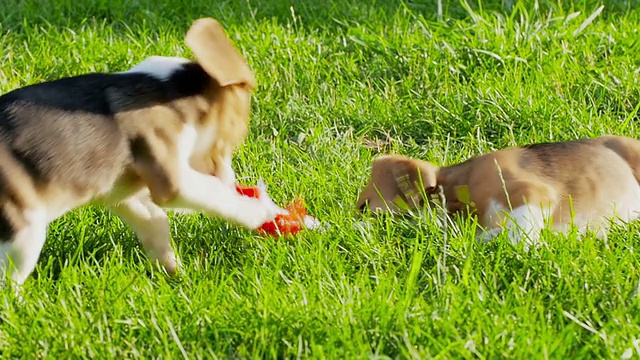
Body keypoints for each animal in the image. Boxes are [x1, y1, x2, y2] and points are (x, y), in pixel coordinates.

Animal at [0, 17, 280, 290]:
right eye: (234, 136)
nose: (234, 181)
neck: (171, 91)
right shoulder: (172, 179)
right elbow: (216, 193)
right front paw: (260, 210)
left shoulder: (124, 194)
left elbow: (155, 222)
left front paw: (176, 275)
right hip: (24, 231)